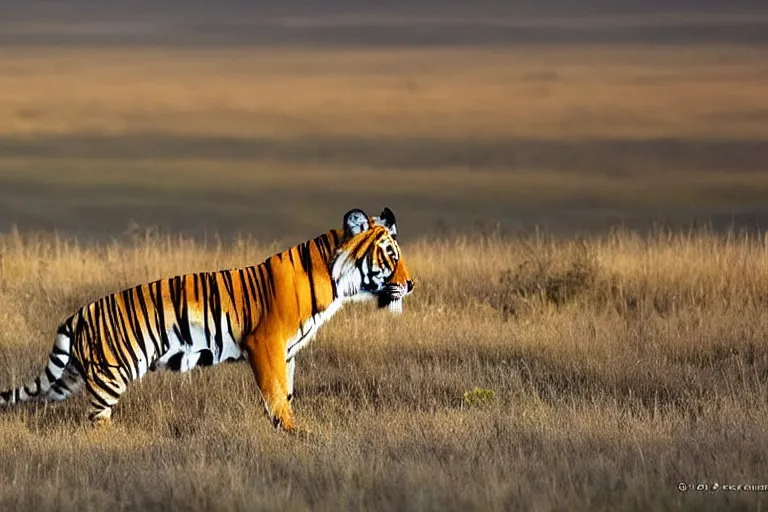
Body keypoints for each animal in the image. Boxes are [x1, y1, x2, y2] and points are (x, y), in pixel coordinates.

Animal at [0, 208, 414, 432]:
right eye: (390, 255)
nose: (410, 284)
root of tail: (78, 313)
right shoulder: (265, 344)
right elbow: (275, 393)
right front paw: (292, 431)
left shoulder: (288, 352)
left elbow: (287, 391)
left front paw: (291, 427)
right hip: (112, 373)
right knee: (96, 418)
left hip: (73, 375)